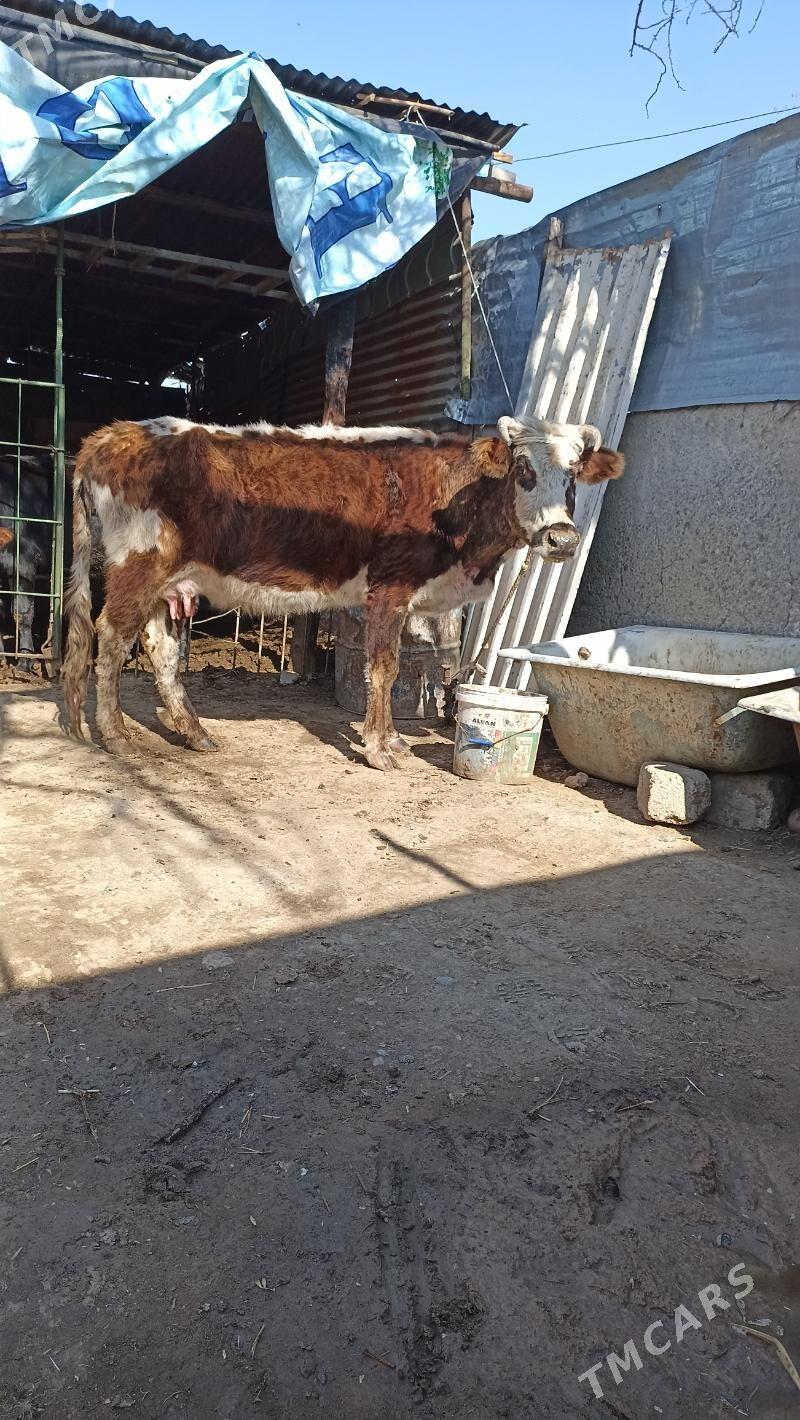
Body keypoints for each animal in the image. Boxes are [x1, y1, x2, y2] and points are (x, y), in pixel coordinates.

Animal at [61, 415, 624, 769]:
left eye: (574, 475)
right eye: (524, 470)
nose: (561, 538)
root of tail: (112, 436)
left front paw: (392, 738)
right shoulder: (389, 588)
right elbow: (384, 668)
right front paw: (379, 748)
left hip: (167, 582)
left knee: (158, 648)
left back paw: (195, 734)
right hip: (138, 564)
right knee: (112, 637)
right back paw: (116, 736)